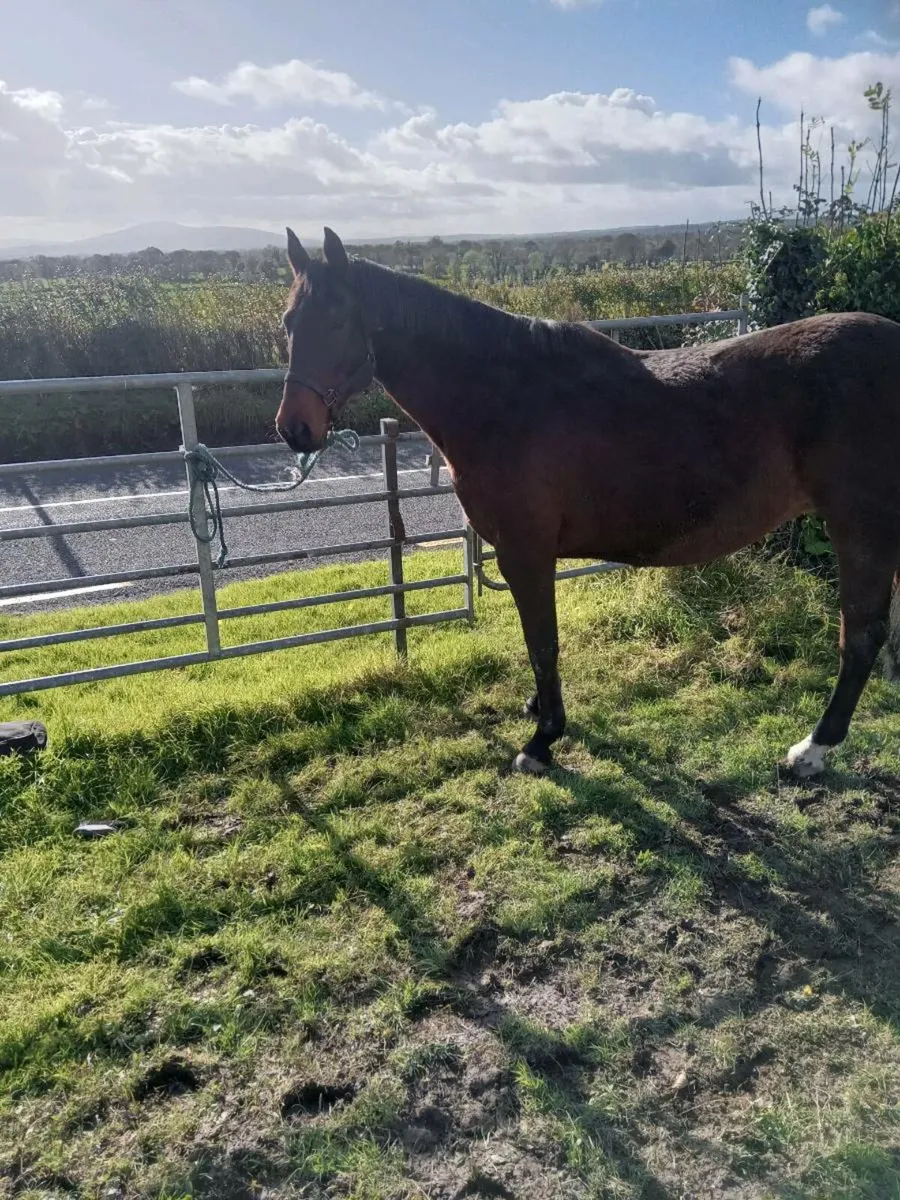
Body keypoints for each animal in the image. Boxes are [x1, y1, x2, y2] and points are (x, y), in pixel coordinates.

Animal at [276, 226, 900, 780]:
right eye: (288, 322)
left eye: (338, 319)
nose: (294, 429)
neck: (501, 395)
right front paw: (538, 711)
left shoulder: (525, 552)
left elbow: (543, 644)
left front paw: (542, 740)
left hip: (860, 528)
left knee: (860, 636)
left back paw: (812, 750)